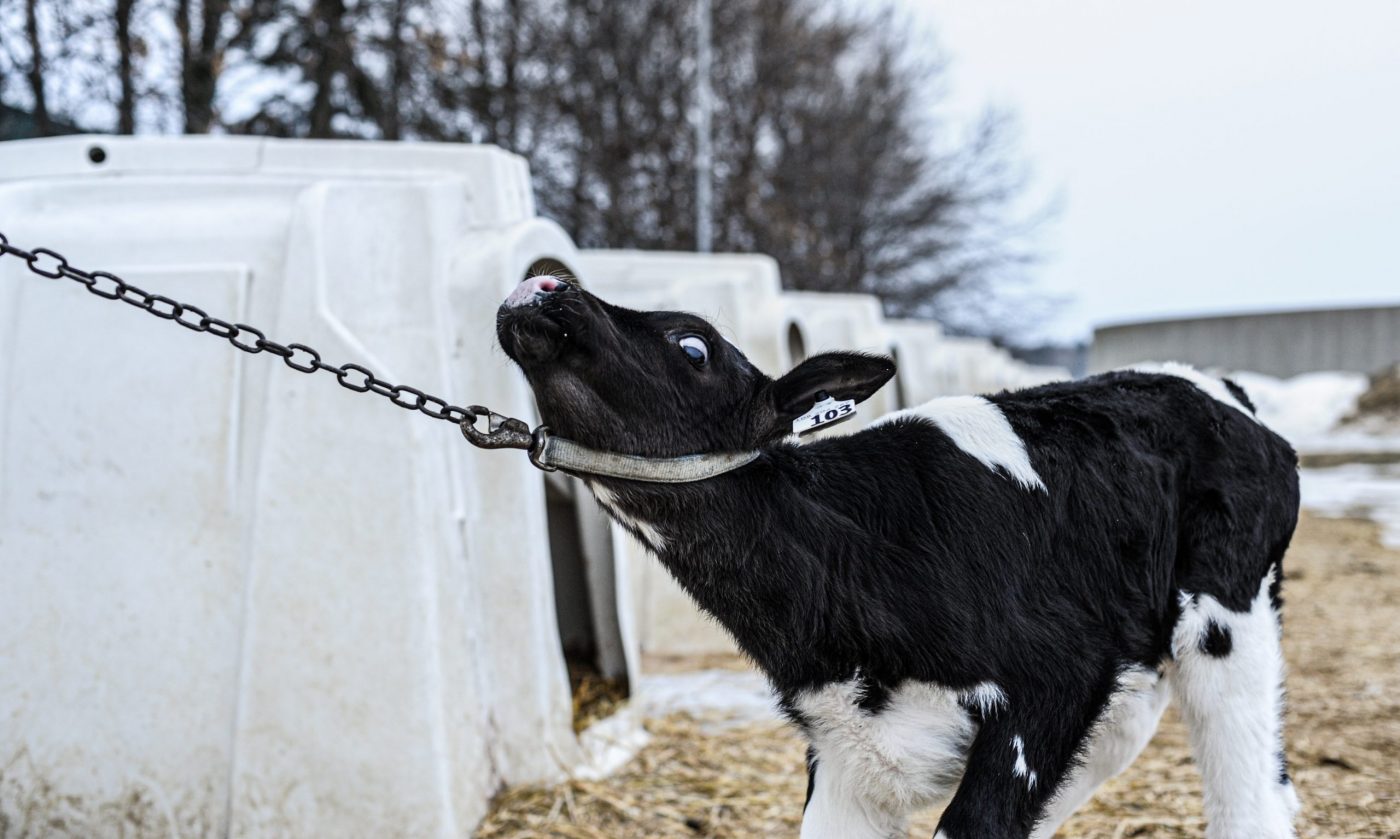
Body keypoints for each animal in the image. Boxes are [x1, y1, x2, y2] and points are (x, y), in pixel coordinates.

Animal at [495, 277, 1299, 839]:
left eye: (693, 345)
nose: (543, 284)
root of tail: (1213, 386)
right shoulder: (848, 747)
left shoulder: (1055, 676)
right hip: (1131, 671)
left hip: (1229, 619)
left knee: (1253, 793)